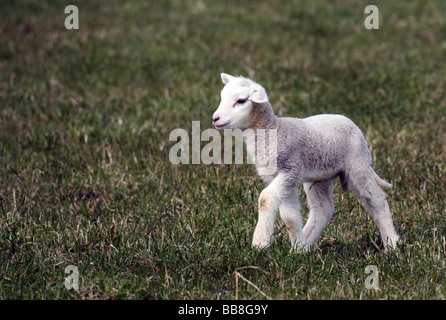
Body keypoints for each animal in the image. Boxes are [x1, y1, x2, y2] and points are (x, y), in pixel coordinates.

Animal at [213, 72, 400, 252]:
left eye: (241, 101)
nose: (215, 118)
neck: (274, 129)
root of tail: (351, 123)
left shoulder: (291, 170)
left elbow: (265, 199)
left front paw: (260, 242)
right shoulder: (282, 179)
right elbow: (290, 217)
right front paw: (296, 249)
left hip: (357, 163)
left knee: (376, 200)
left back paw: (392, 245)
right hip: (320, 177)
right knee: (322, 209)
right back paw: (305, 246)